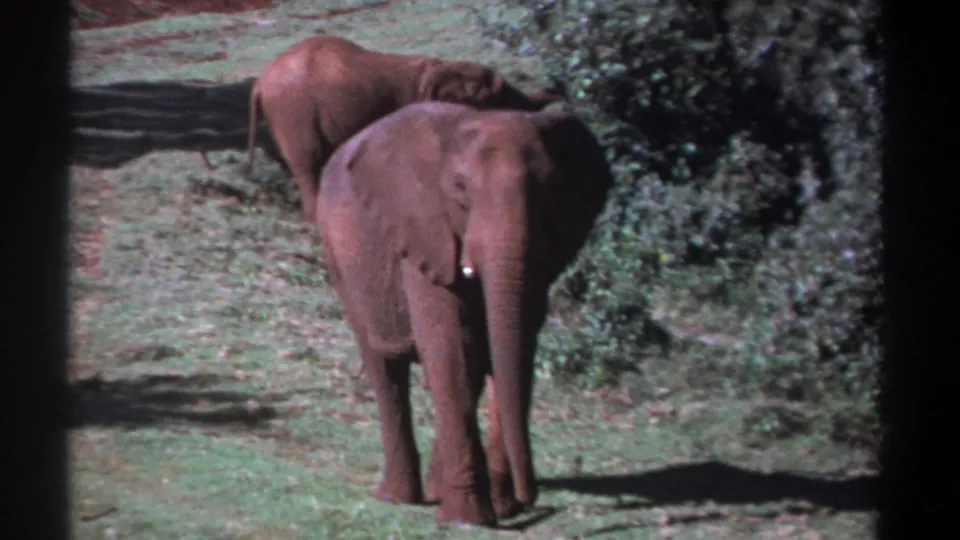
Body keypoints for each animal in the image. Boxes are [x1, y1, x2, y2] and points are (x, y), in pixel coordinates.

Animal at [314, 101, 613, 527]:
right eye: (459, 189)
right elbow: (450, 345)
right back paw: (397, 497)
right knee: (384, 366)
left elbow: (510, 346)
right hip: (339, 256)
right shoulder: (425, 232)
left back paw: (438, 490)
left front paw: (495, 507)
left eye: (550, 190)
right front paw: (467, 519)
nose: (530, 499)